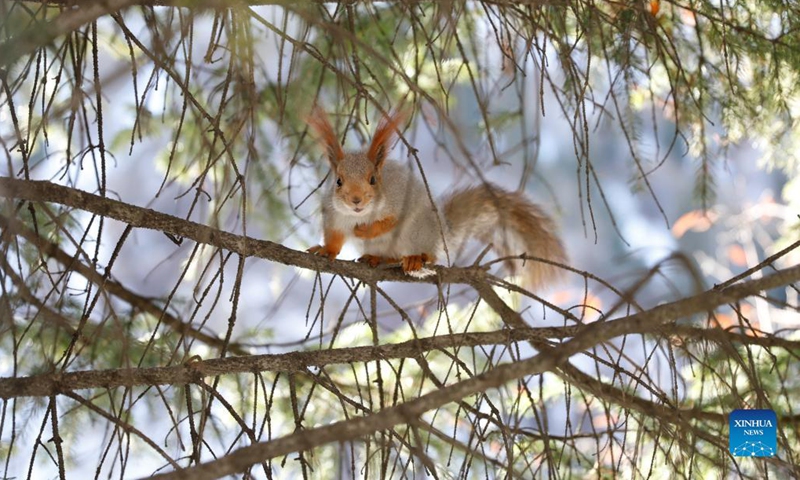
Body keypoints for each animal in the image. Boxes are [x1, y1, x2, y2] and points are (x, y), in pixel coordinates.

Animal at [306, 108, 568, 288]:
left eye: (373, 180)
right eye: (338, 181)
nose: (356, 200)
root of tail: (441, 231)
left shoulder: (400, 200)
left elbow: (392, 221)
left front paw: (366, 229)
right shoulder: (334, 216)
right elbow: (334, 237)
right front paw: (326, 250)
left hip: (419, 230)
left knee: (427, 254)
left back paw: (416, 258)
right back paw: (376, 257)